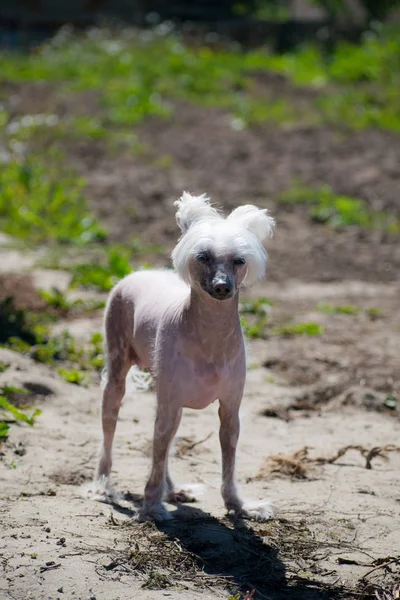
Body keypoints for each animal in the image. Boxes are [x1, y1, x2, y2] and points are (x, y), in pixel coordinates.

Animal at [92, 191, 276, 520]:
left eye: (239, 260)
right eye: (203, 257)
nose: (222, 287)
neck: (210, 338)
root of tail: (141, 272)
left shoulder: (230, 409)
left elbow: (227, 460)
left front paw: (238, 506)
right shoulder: (169, 402)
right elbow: (156, 452)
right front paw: (152, 506)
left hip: (170, 404)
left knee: (163, 443)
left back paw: (173, 489)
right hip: (117, 375)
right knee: (112, 430)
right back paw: (103, 485)